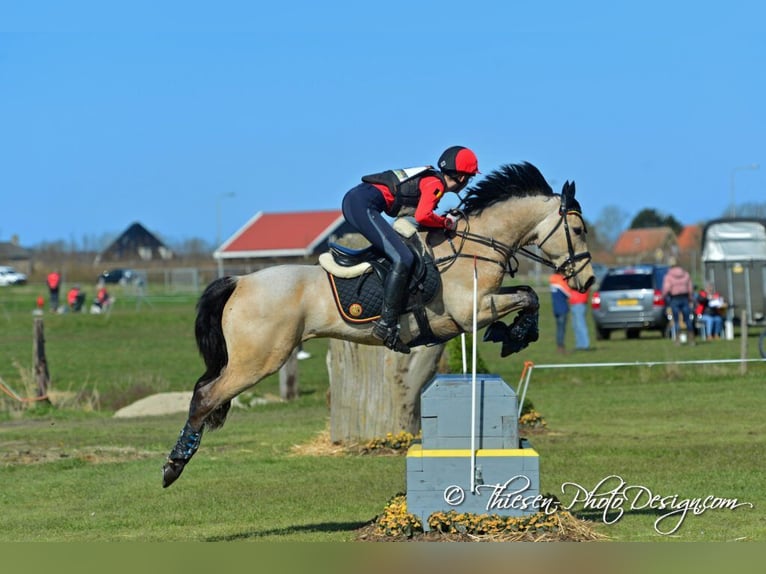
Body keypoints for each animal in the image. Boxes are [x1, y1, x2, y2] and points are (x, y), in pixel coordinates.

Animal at [160, 162, 592, 490]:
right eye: (579, 229)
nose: (586, 282)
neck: (478, 243)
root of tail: (240, 280)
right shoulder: (472, 311)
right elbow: (528, 297)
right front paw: (514, 334)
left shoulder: (482, 304)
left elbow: (528, 295)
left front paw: (514, 334)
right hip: (260, 360)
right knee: (206, 396)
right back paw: (173, 466)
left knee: (203, 388)